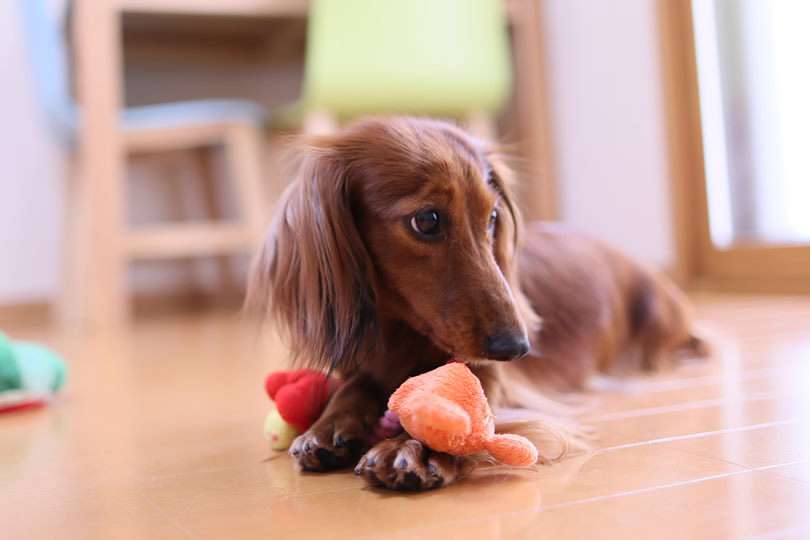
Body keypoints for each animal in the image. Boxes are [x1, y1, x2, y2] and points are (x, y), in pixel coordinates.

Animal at [248, 116, 708, 492]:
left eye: (492, 218)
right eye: (427, 220)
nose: (518, 348)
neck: (402, 334)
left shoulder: (491, 378)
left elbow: (464, 408)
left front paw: (417, 447)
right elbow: (353, 387)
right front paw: (328, 427)